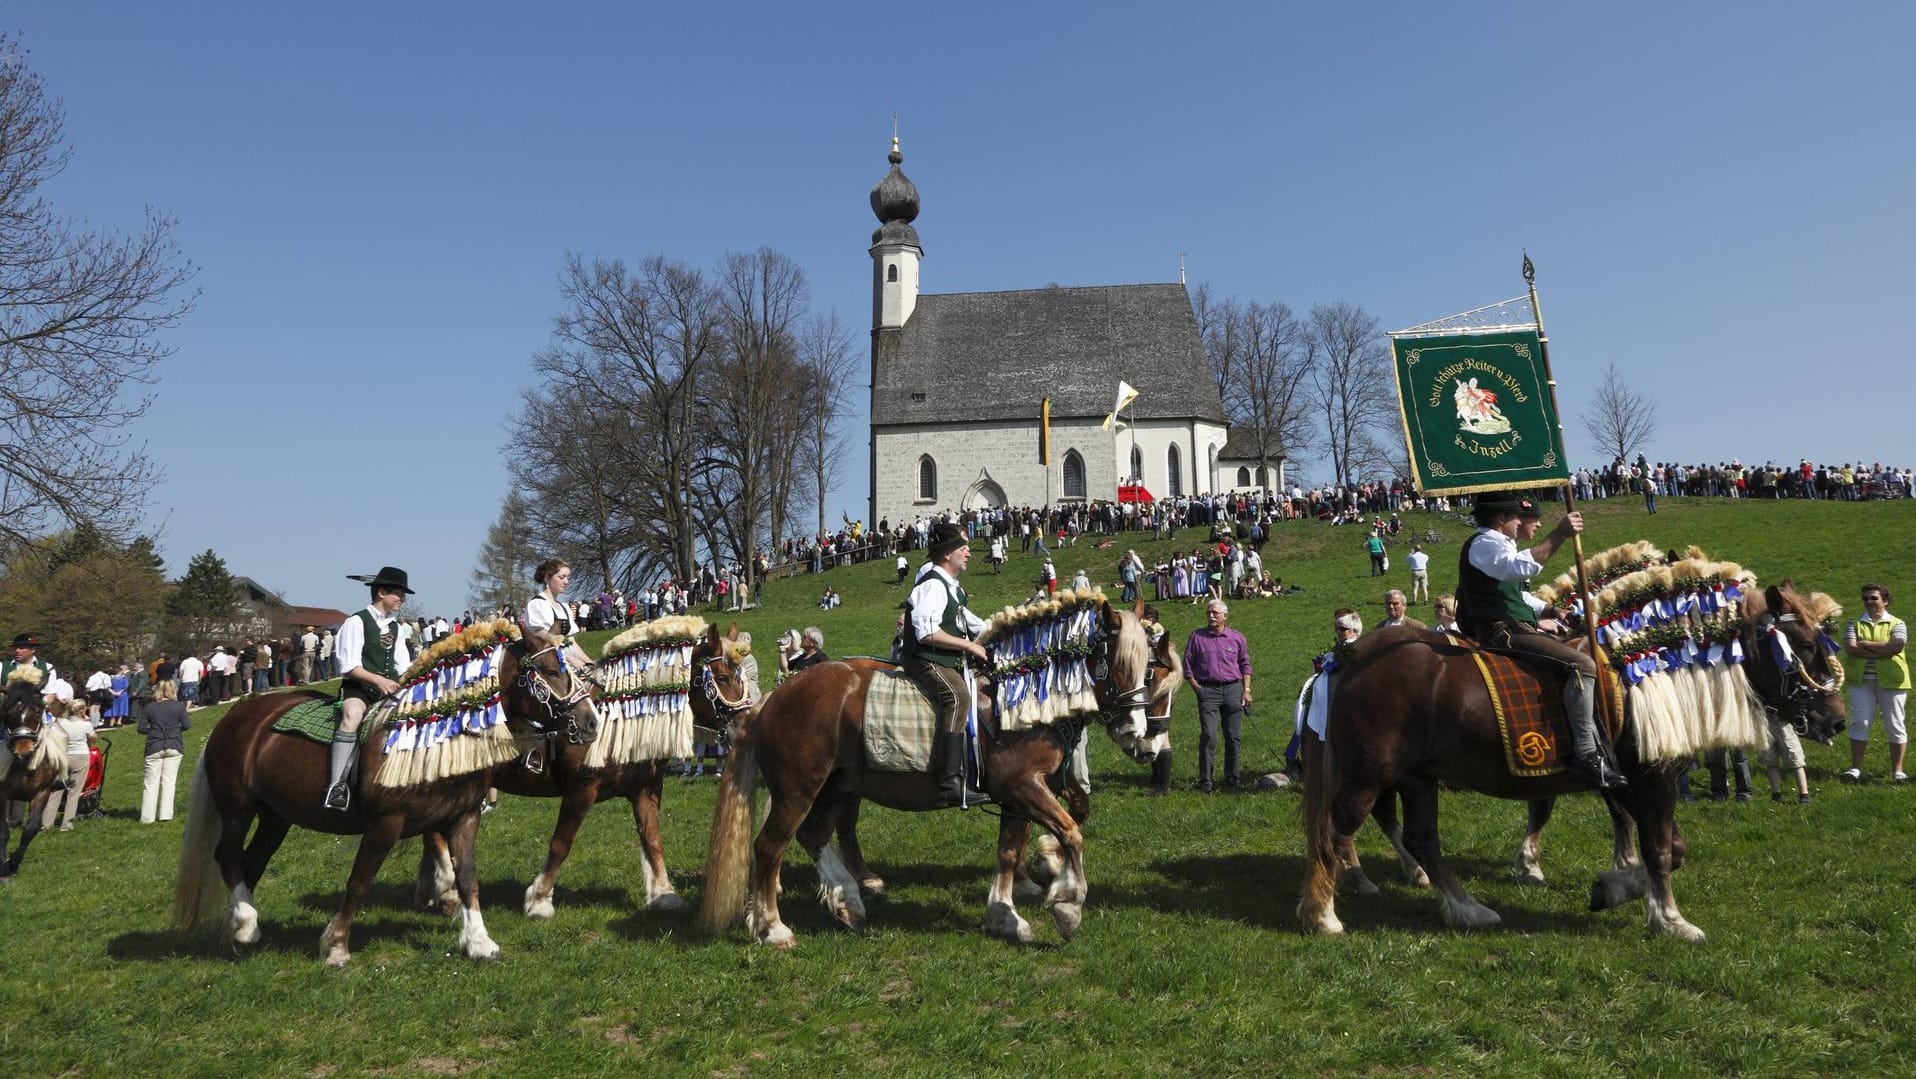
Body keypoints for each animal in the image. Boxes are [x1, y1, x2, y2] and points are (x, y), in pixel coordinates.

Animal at [0, 674, 64, 877]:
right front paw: (3, 867)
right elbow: (3, 831)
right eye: (8, 712)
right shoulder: (2, 794)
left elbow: (31, 829)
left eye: (37, 711)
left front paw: (13, 862)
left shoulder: (42, 792)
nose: (23, 749)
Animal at [415, 624, 751, 919]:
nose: (746, 726)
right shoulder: (582, 791)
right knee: (434, 831)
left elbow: (653, 839)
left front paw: (664, 895)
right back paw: (446, 890)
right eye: (722, 677)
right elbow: (561, 843)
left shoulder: (645, 790)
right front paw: (539, 900)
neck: (622, 719)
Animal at [1295, 578, 1847, 942]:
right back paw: (1324, 913)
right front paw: (1670, 919)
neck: (1656, 667)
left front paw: (1612, 886)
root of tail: (1348, 658)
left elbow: (1667, 847)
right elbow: (1660, 850)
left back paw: (1466, 908)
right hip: (1369, 775)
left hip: (1416, 776)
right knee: (1334, 833)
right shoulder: (1650, 779)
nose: (1837, 719)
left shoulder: (1631, 782)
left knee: (1421, 838)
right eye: (1802, 645)